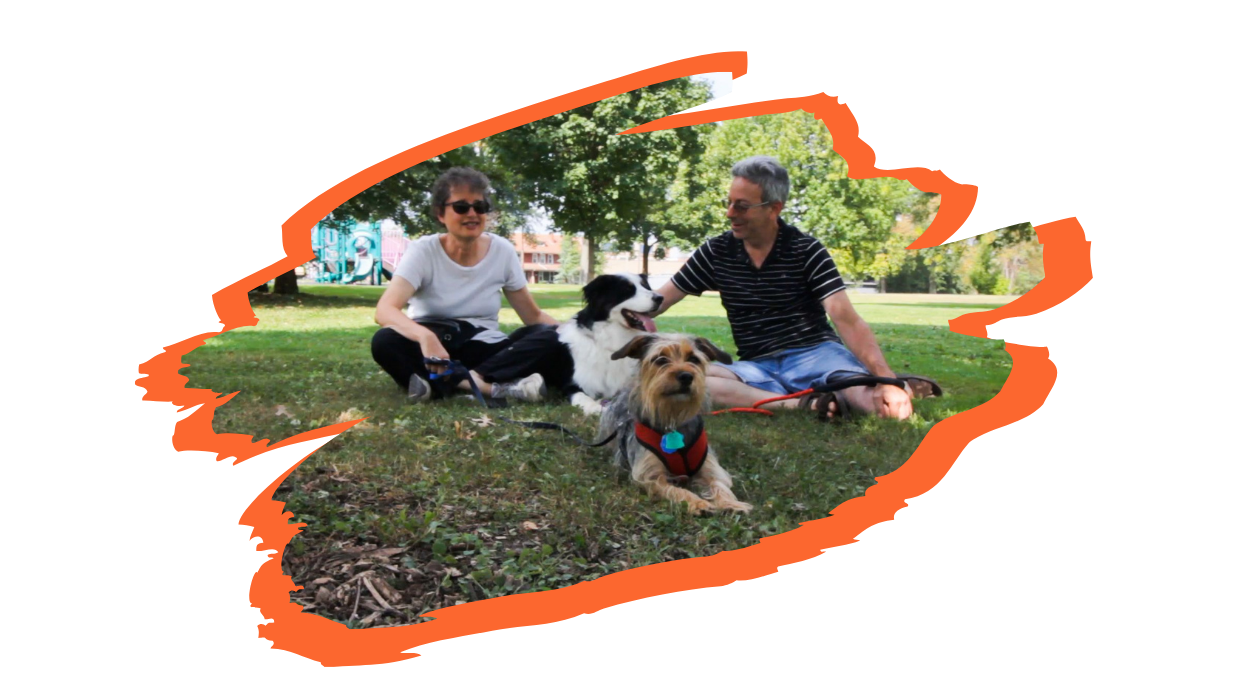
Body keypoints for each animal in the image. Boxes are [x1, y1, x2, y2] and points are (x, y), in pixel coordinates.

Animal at [594, 332, 750, 513]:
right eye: (661, 359)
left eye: (693, 359)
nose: (686, 376)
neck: (673, 419)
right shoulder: (650, 475)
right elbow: (676, 490)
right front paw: (698, 503)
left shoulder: (710, 467)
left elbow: (719, 484)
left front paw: (731, 503)